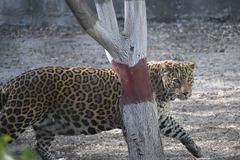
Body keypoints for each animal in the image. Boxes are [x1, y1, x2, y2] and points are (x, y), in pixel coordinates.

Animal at [0, 59, 202, 159]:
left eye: (189, 80)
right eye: (177, 81)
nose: (186, 93)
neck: (163, 90)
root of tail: (15, 81)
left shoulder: (160, 117)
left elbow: (179, 128)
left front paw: (195, 149)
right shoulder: (132, 117)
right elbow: (134, 141)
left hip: (47, 124)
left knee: (40, 146)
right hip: (18, 116)